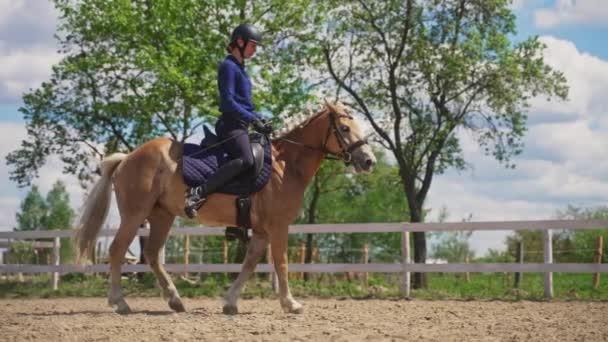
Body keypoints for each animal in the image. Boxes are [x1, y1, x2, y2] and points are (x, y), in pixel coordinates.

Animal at [72, 101, 376, 316]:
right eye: (345, 129)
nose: (369, 161)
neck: (285, 165)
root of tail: (127, 158)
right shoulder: (278, 226)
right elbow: (281, 263)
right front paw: (290, 304)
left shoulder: (261, 230)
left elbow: (250, 264)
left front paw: (230, 303)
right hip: (135, 215)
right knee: (117, 250)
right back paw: (120, 303)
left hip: (162, 215)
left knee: (153, 254)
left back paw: (175, 301)